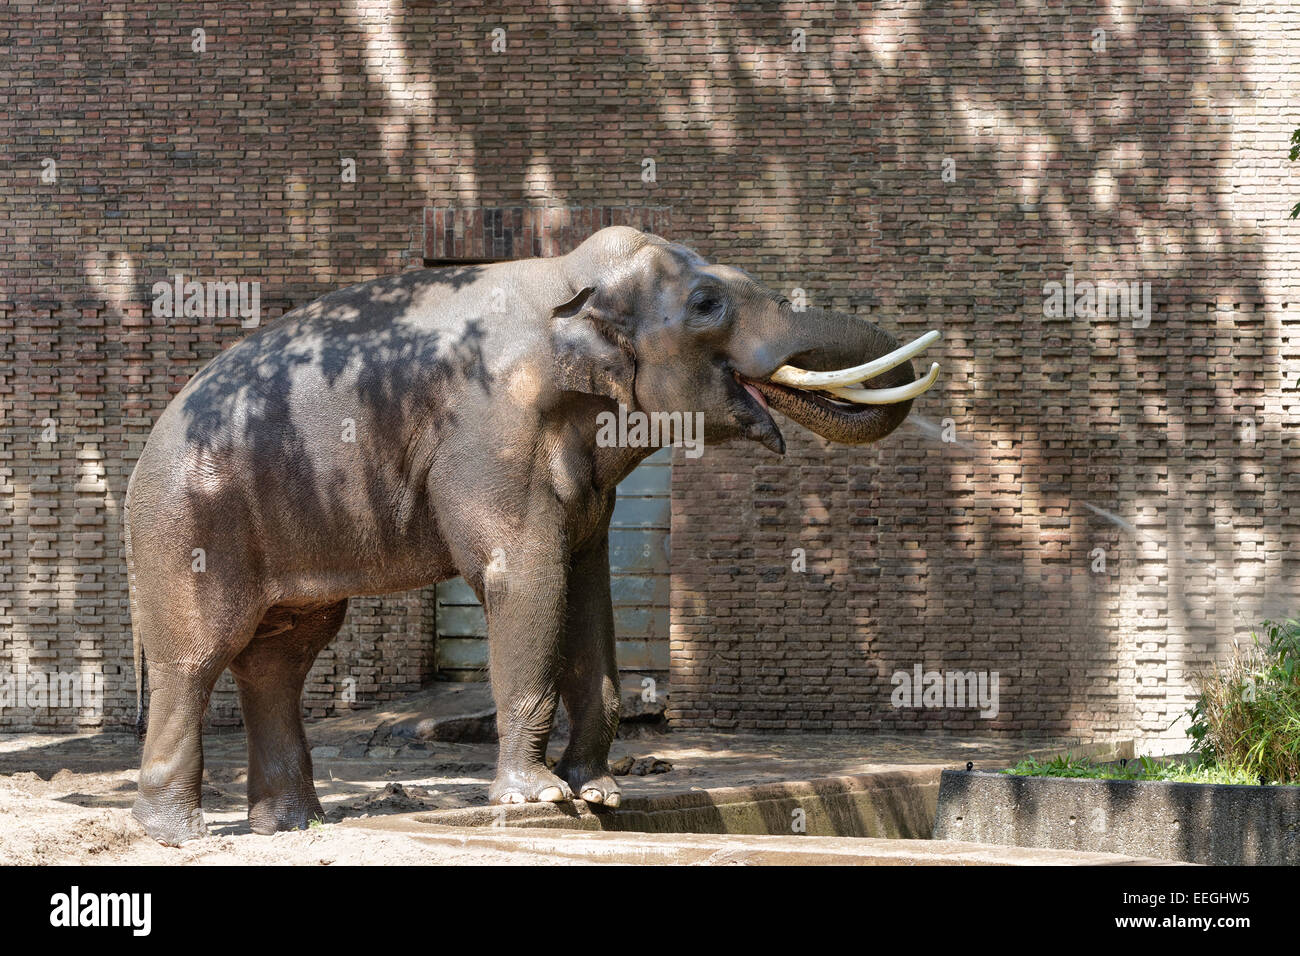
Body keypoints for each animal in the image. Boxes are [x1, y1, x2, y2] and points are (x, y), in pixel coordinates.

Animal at [126, 223, 941, 842]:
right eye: (707, 304)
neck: (568, 277)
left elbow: (586, 590)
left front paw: (602, 795)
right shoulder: (491, 431)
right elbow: (525, 578)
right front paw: (540, 799)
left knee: (281, 659)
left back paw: (291, 828)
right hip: (187, 523)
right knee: (197, 658)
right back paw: (177, 835)